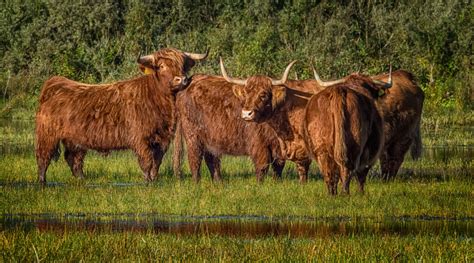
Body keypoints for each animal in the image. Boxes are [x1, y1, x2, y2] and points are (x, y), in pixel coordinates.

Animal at [34, 48, 208, 184]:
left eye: (182, 66)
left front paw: (154, 180)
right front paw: (147, 183)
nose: (181, 79)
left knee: (74, 159)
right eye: (161, 66)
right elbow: (146, 161)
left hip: (74, 139)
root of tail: (56, 82)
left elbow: (156, 163)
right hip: (47, 135)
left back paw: (82, 180)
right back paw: (42, 182)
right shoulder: (141, 138)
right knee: (43, 157)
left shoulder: (162, 139)